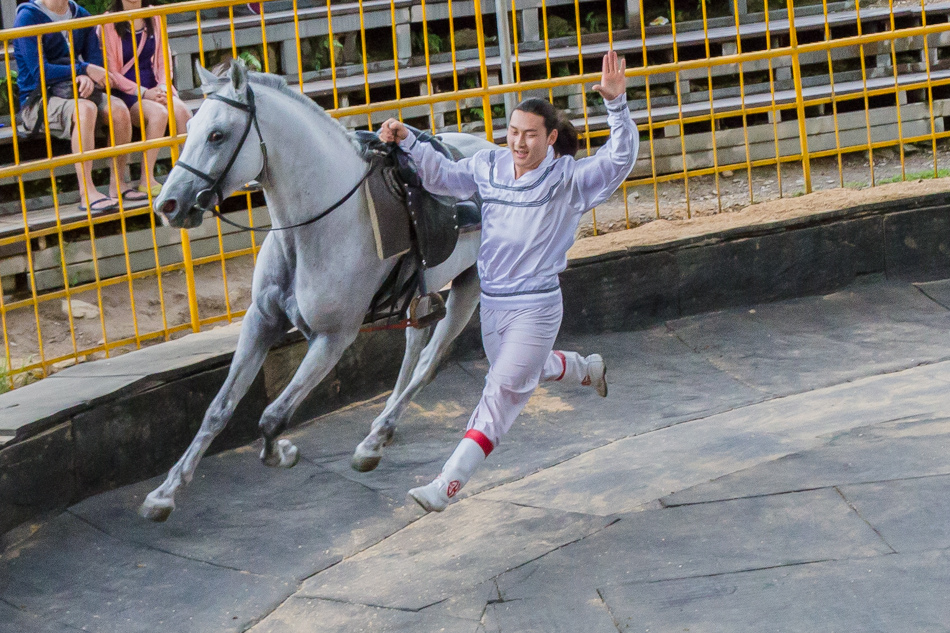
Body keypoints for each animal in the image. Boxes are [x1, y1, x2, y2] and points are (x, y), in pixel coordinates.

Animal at [145, 59, 494, 520]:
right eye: (190, 129)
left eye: (217, 134)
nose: (167, 205)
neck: (317, 225)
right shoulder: (260, 321)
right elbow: (218, 410)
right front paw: (164, 492)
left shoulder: (332, 338)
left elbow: (272, 416)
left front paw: (283, 453)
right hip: (420, 299)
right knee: (414, 352)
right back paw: (379, 432)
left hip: (469, 290)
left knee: (428, 362)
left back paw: (373, 442)